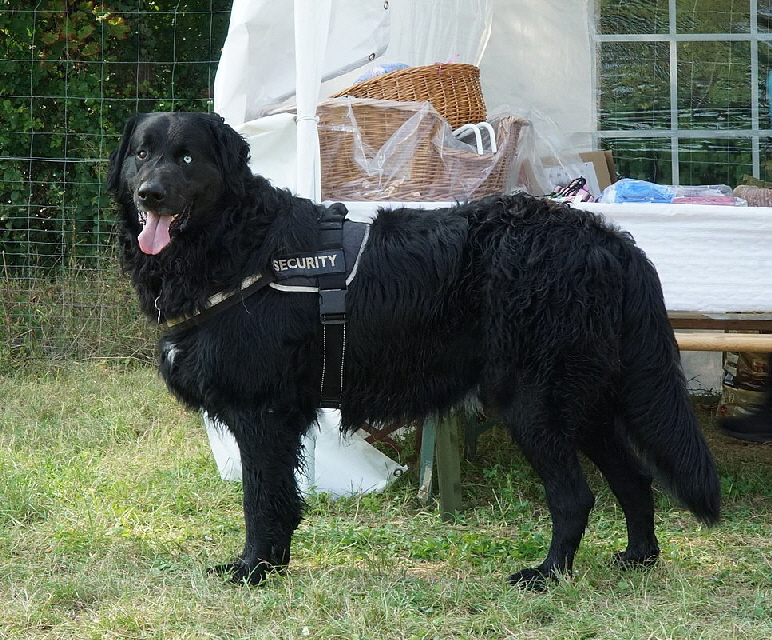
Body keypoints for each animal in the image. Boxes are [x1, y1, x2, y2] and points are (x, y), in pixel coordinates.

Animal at [105, 111, 720, 592]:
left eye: (186, 157)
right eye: (142, 154)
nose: (149, 194)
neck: (239, 243)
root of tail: (609, 240)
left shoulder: (263, 414)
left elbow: (263, 501)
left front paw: (254, 570)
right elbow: (279, 501)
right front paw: (271, 567)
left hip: (535, 402)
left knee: (575, 497)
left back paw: (546, 574)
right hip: (585, 401)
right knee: (634, 479)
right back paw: (637, 558)